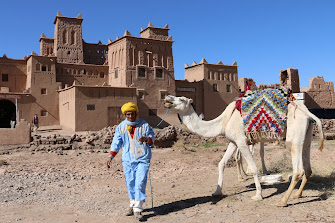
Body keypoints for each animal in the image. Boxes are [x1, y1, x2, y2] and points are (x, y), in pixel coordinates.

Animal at [166, 93, 326, 206]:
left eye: (181, 99)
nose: (167, 98)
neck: (223, 121)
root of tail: (307, 112)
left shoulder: (242, 141)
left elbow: (254, 168)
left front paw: (258, 195)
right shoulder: (233, 141)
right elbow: (221, 163)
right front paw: (217, 191)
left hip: (293, 138)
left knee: (298, 171)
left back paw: (282, 201)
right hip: (306, 135)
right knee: (308, 168)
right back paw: (297, 195)